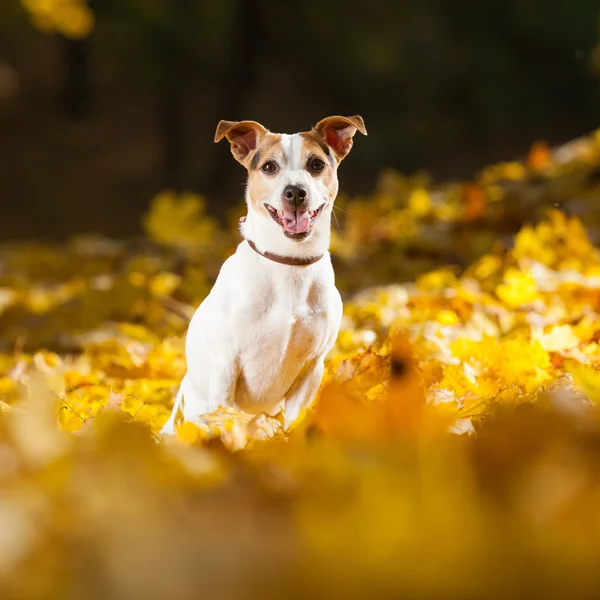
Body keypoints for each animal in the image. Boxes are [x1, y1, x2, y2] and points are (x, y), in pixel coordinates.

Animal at [159, 115, 366, 434]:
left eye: (316, 164)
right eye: (269, 167)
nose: (295, 192)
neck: (290, 262)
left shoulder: (312, 368)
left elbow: (292, 420)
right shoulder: (226, 365)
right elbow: (225, 416)